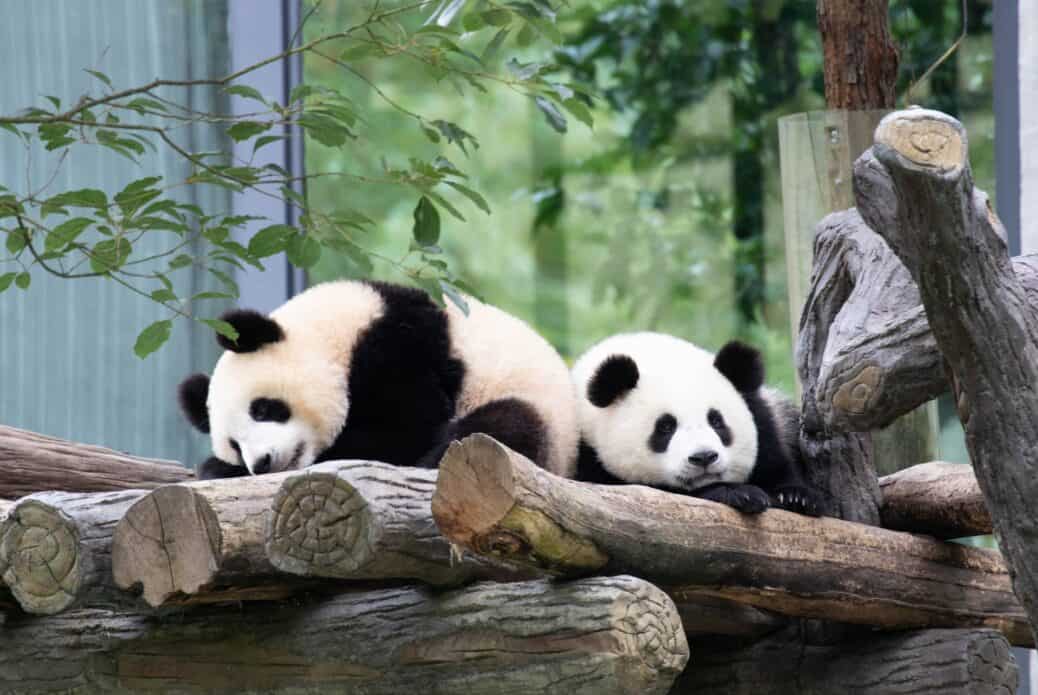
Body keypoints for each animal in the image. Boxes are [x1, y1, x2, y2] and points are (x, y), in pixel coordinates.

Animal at [178, 280, 578, 480]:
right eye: (234, 443)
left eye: (263, 409)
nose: (260, 463)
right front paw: (218, 467)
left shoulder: (397, 346)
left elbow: (404, 427)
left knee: (505, 425)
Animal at [571, 332, 823, 516]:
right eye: (665, 427)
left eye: (717, 421)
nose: (704, 457)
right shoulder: (586, 455)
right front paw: (741, 493)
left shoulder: (763, 417)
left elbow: (775, 461)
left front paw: (795, 497)